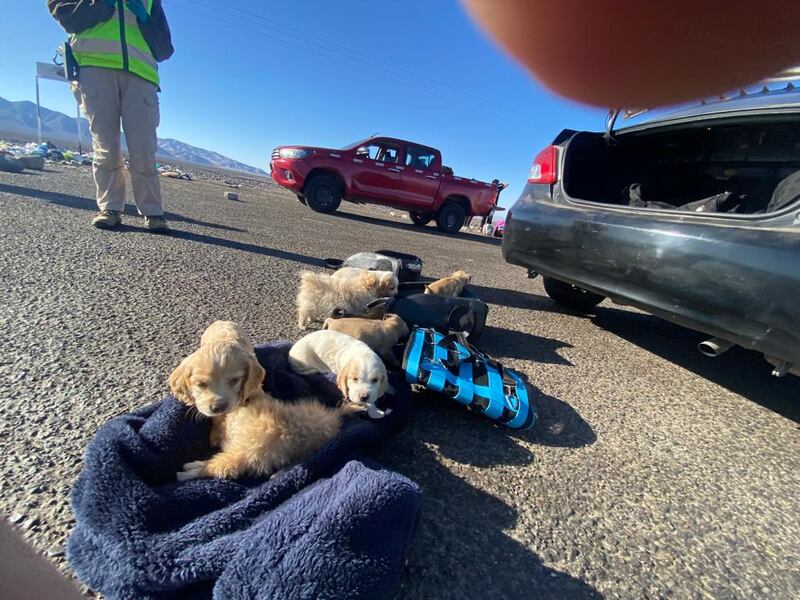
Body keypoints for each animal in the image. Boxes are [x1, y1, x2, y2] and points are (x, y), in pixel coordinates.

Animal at [167, 322, 358, 480]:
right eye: (200, 384)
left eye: (234, 381)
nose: (218, 406)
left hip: (245, 450)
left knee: (221, 466)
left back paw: (191, 470)